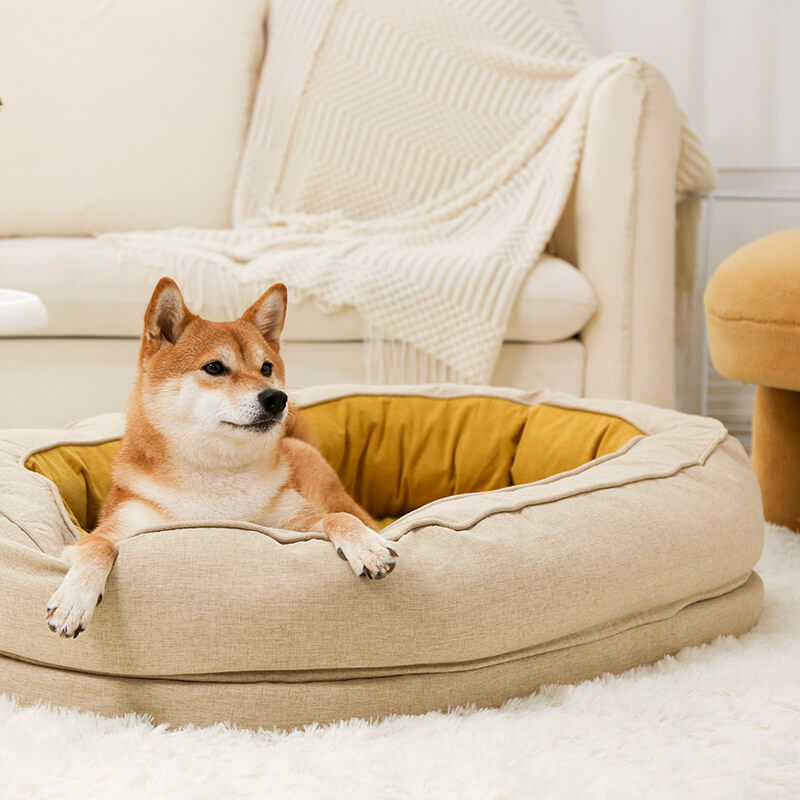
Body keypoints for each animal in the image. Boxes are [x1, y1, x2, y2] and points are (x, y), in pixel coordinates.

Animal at [45, 278, 398, 640]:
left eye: (266, 368)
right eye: (214, 367)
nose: (277, 398)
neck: (218, 474)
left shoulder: (297, 520)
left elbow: (338, 519)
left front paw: (367, 547)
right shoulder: (117, 527)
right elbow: (99, 546)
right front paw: (74, 600)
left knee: (352, 513)